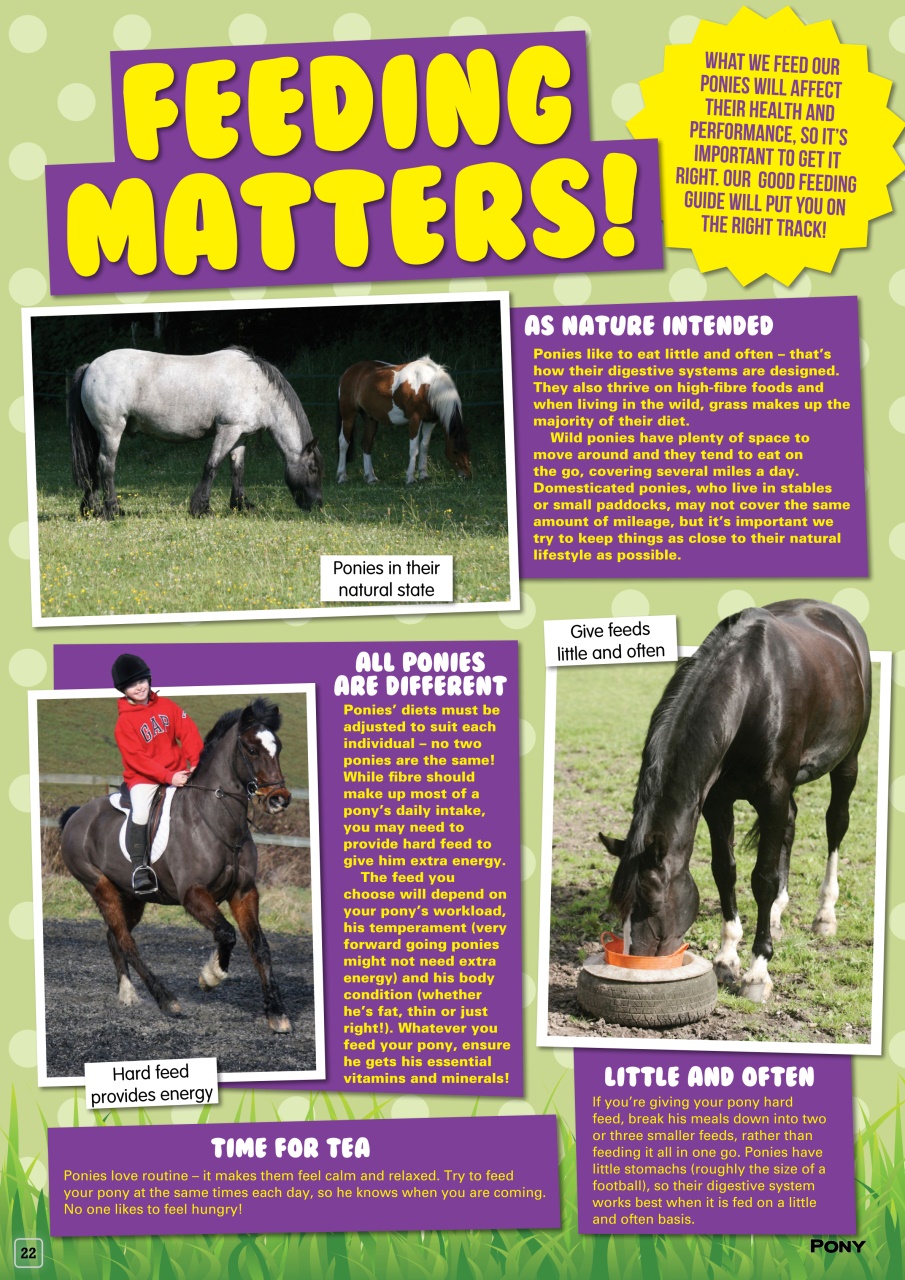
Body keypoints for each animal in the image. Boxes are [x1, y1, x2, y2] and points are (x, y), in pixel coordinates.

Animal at [59, 699, 296, 1032]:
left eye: (278, 748)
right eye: (251, 750)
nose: (279, 799)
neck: (218, 822)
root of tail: (77, 815)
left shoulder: (244, 893)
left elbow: (259, 945)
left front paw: (276, 1013)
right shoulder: (193, 894)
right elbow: (227, 933)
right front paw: (211, 976)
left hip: (132, 897)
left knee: (114, 936)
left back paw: (127, 993)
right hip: (99, 886)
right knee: (126, 941)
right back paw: (166, 1000)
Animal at [68, 346, 323, 518]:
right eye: (312, 469)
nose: (318, 505)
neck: (257, 387)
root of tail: (90, 366)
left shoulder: (240, 436)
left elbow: (237, 470)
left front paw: (240, 505)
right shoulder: (227, 430)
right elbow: (212, 466)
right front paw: (201, 508)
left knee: (92, 467)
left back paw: (91, 509)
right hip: (111, 431)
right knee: (106, 466)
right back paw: (113, 510)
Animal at [336, 356, 471, 485]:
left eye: (467, 448)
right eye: (455, 451)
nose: (466, 475)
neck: (429, 386)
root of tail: (348, 372)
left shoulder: (430, 421)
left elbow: (424, 446)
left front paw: (423, 475)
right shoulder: (415, 420)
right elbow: (414, 449)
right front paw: (410, 478)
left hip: (370, 419)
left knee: (366, 444)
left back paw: (371, 478)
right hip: (348, 415)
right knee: (343, 443)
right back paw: (342, 476)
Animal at [598, 599, 872, 1003]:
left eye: (652, 902)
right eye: (620, 904)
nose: (633, 961)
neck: (751, 689)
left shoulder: (772, 795)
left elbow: (763, 878)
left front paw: (758, 972)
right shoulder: (717, 801)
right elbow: (724, 871)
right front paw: (727, 958)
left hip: (847, 762)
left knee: (836, 824)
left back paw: (825, 915)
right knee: (790, 825)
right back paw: (775, 914)